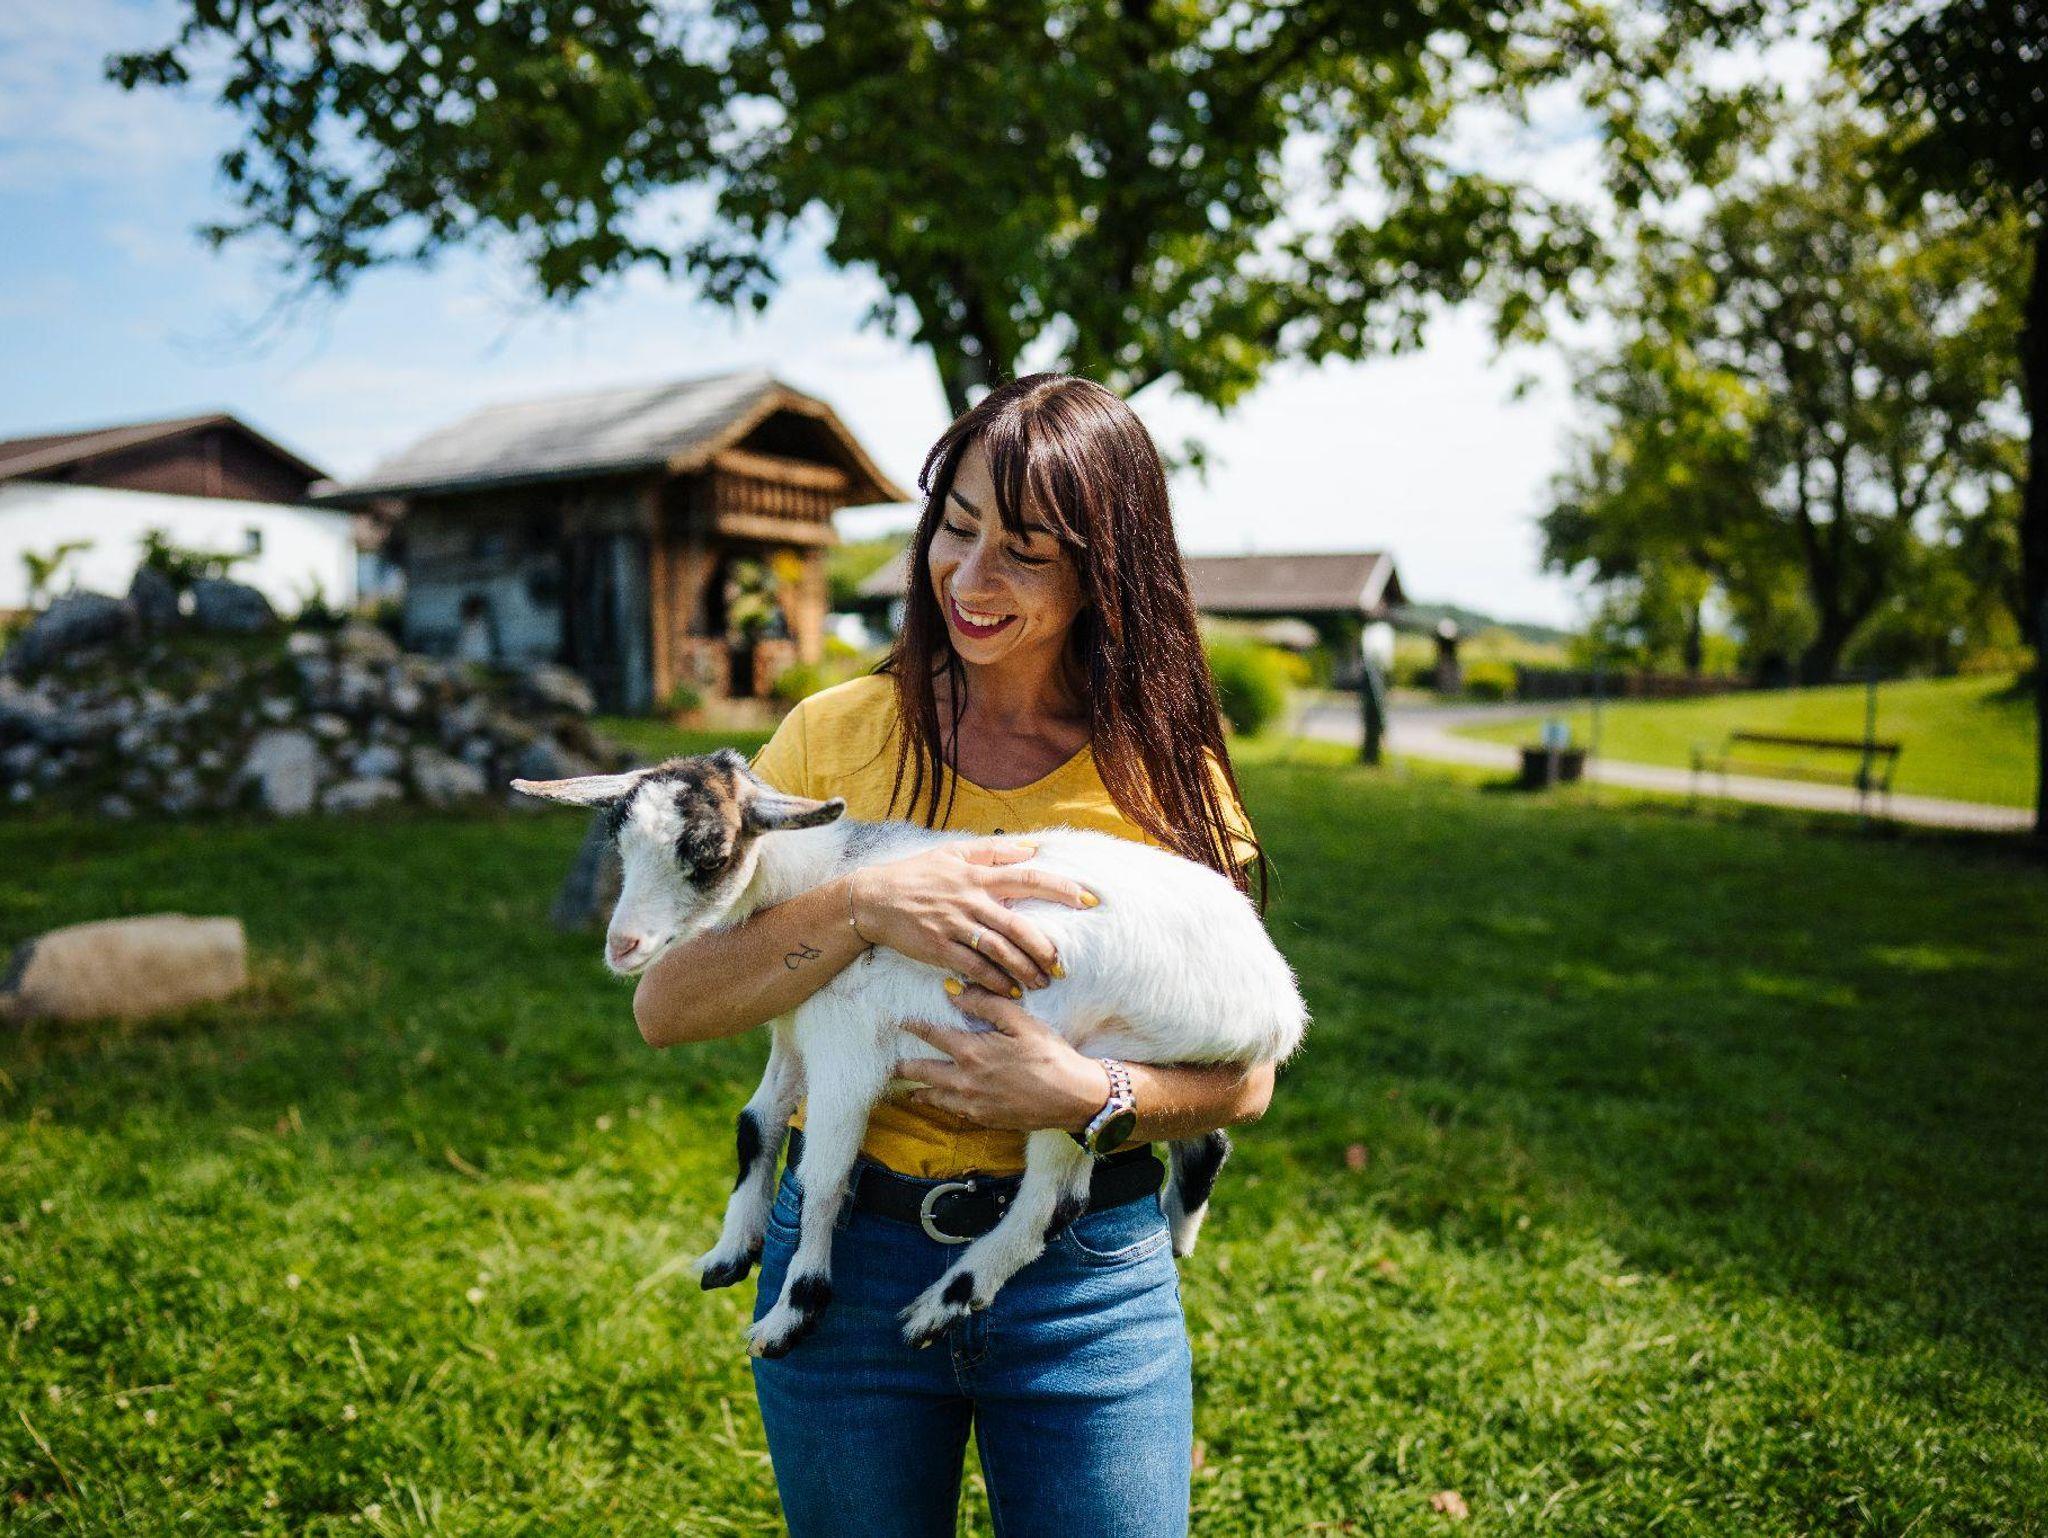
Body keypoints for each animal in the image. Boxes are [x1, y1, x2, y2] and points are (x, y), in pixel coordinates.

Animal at [515, 749, 1308, 1358]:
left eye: (708, 855)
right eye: (620, 846)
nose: (624, 947)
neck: (823, 875)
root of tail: (1278, 1004)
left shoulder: (847, 1056)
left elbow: (824, 1178)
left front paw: (793, 1313)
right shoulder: (795, 1034)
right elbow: (755, 1125)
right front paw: (729, 1253)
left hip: (1072, 1067)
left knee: (1053, 1201)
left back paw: (945, 1303)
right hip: (1158, 1060)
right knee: (1197, 1141)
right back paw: (1177, 1231)